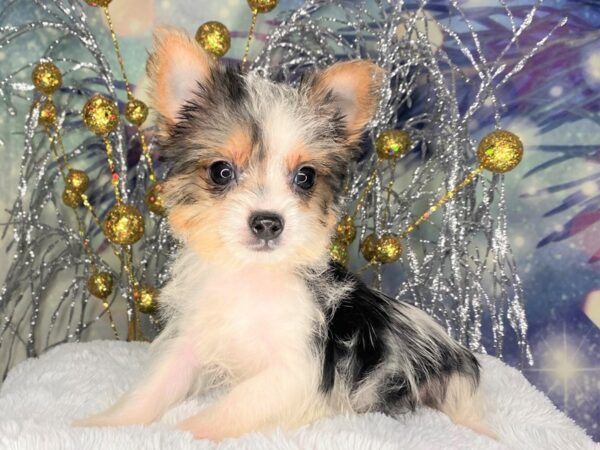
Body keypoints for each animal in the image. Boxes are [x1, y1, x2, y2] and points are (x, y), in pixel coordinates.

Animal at [76, 27, 488, 440]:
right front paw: (106, 423)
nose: (267, 222)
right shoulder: (191, 344)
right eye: (221, 172)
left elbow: (230, 409)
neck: (251, 274)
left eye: (305, 177)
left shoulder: (293, 371)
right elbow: (154, 387)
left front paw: (188, 432)